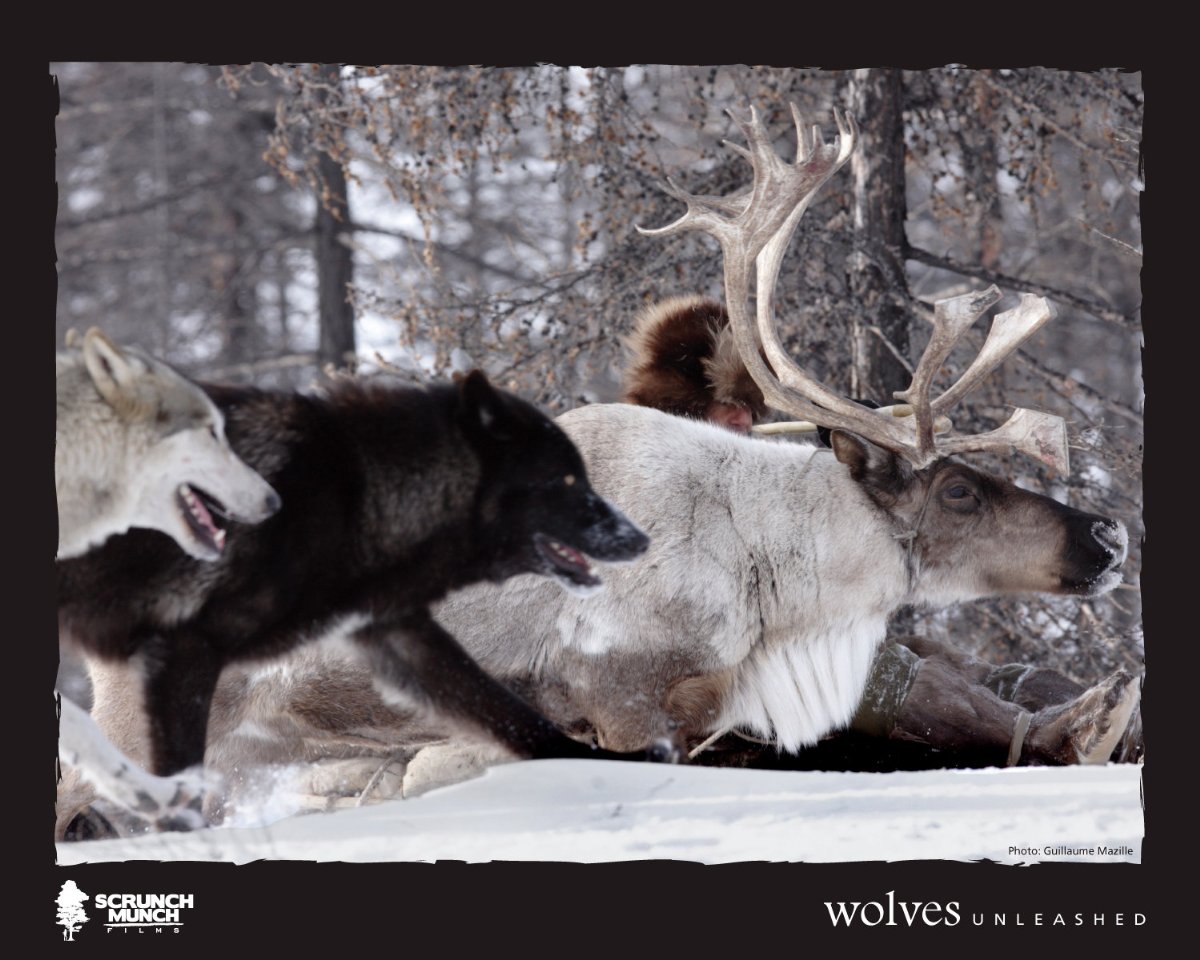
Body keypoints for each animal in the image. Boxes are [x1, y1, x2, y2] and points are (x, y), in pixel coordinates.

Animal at [57, 370, 656, 836]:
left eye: (583, 475)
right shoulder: (183, 655)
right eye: (565, 479)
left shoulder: (395, 633)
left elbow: (514, 717)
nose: (639, 538)